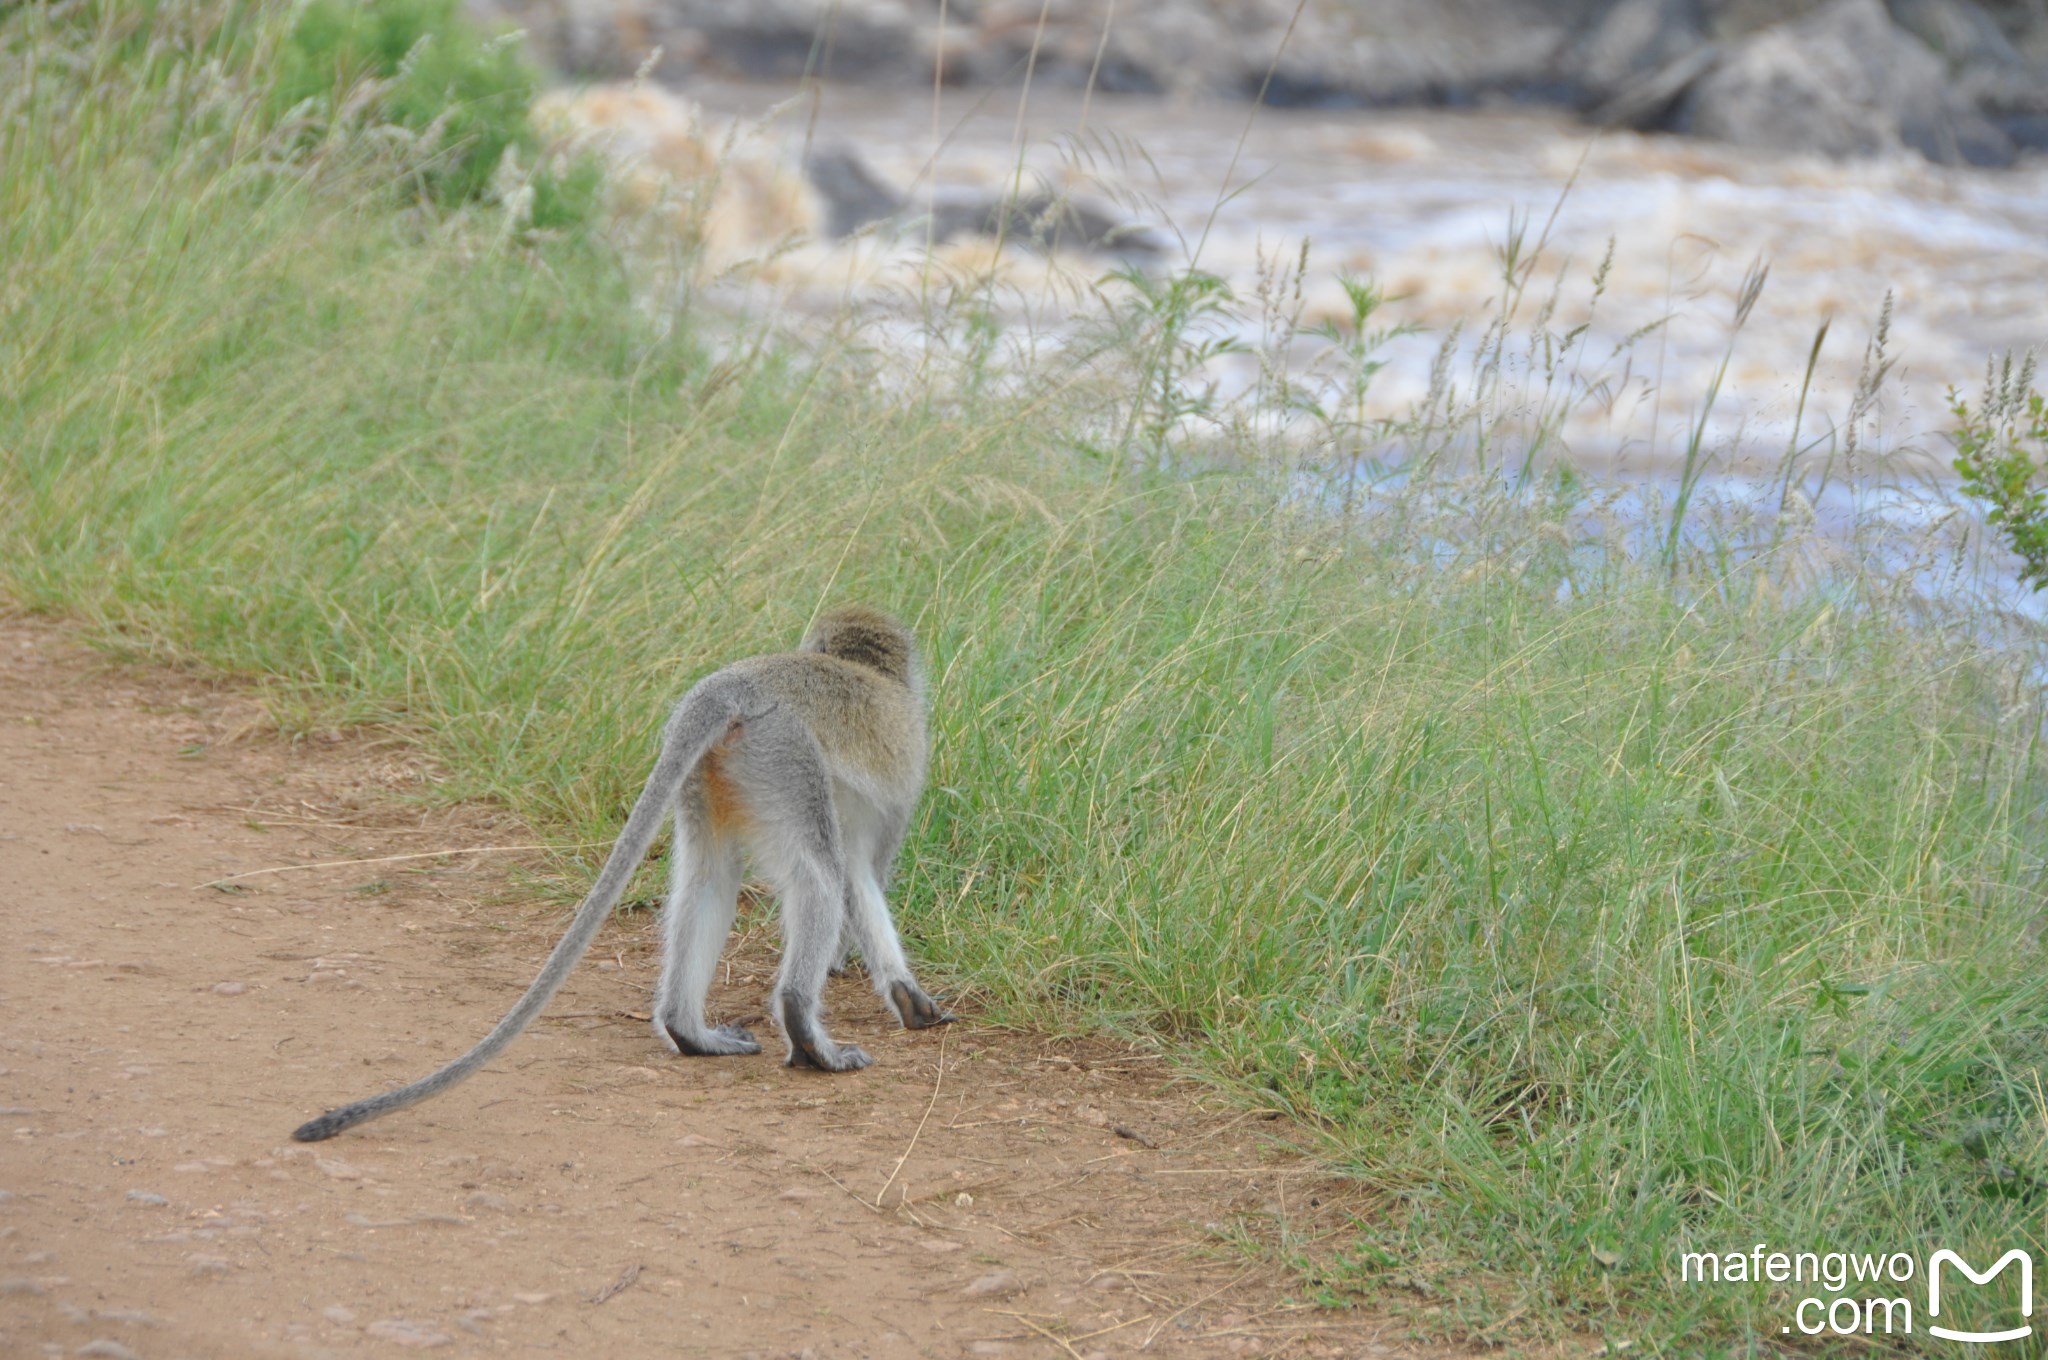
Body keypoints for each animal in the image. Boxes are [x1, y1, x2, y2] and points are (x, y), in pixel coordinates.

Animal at [288, 610, 950, 1138]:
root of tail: (729, 687)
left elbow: (852, 879)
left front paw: (903, 996)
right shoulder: (903, 777)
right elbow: (860, 877)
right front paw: (891, 988)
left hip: (717, 772)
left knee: (711, 879)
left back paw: (689, 1030)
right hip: (784, 753)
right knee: (817, 875)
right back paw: (803, 1029)